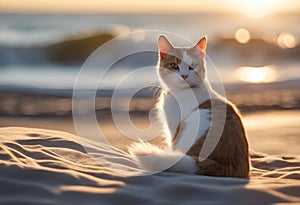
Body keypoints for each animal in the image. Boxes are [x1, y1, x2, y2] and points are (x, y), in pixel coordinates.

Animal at [129, 35, 251, 178]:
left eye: (192, 67)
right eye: (174, 65)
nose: (184, 75)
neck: (182, 91)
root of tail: (223, 166)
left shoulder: (173, 129)